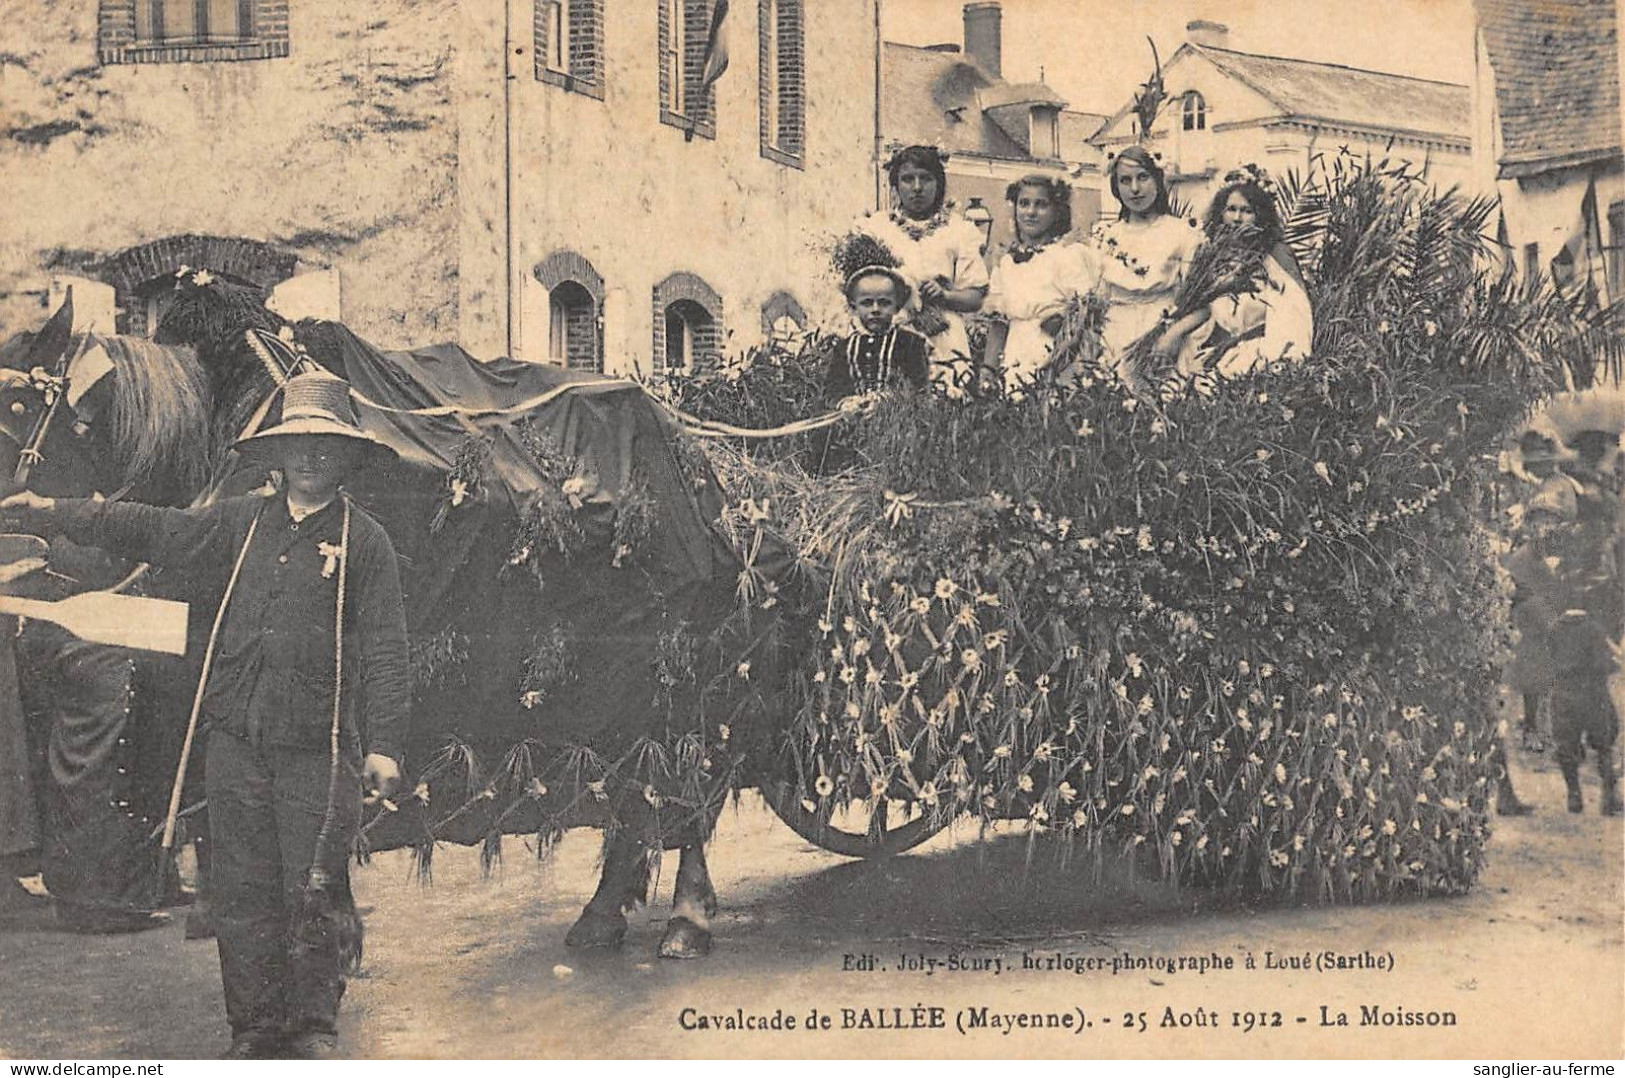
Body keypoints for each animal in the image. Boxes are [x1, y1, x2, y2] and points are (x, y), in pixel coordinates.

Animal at [0, 289, 754, 962]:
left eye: (15, 405)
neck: (223, 460)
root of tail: (703, 469)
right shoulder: (200, 688)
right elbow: (215, 814)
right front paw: (221, 914)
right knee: (637, 801)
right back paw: (604, 914)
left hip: (682, 684)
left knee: (688, 794)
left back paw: (686, 918)